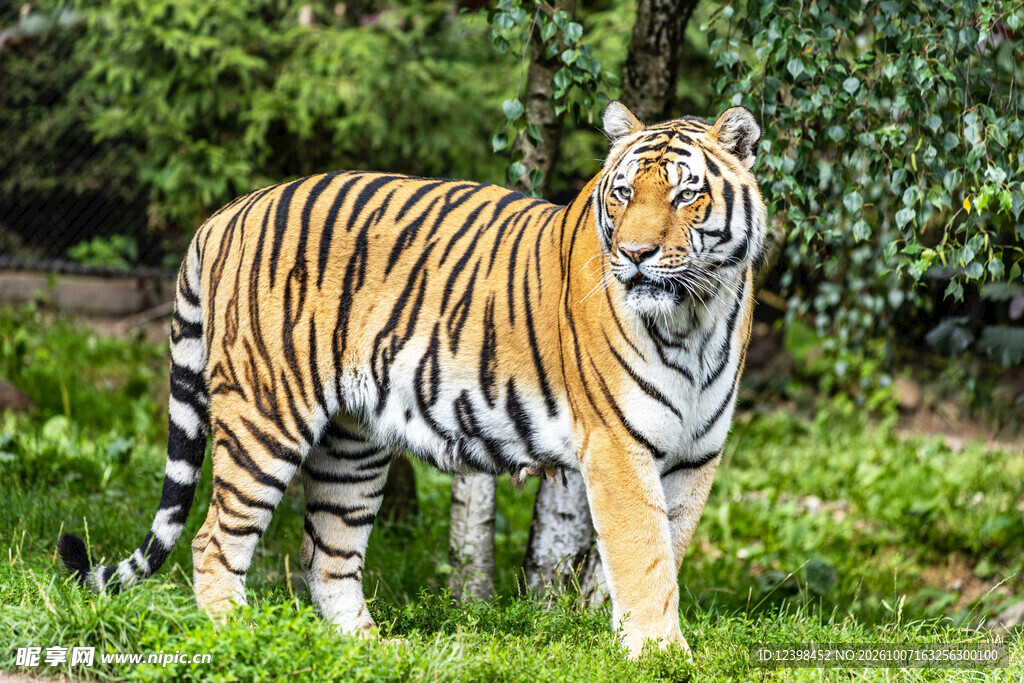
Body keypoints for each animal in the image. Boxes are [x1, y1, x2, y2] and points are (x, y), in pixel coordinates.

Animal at [58, 101, 765, 657]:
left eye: (685, 194)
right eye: (622, 195)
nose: (636, 255)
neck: (695, 316)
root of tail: (225, 213)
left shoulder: (695, 456)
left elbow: (666, 549)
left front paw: (645, 644)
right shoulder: (617, 448)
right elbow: (644, 557)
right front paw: (659, 654)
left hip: (351, 446)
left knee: (328, 553)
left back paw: (367, 648)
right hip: (266, 416)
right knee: (213, 539)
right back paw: (236, 634)